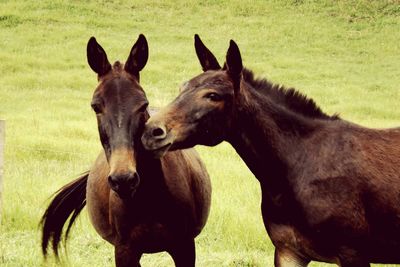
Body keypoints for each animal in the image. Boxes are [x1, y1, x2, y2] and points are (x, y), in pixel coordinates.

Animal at [141, 35, 400, 267]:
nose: (151, 132)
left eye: (213, 96)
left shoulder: (353, 253)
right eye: (181, 87)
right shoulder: (289, 250)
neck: (295, 169)